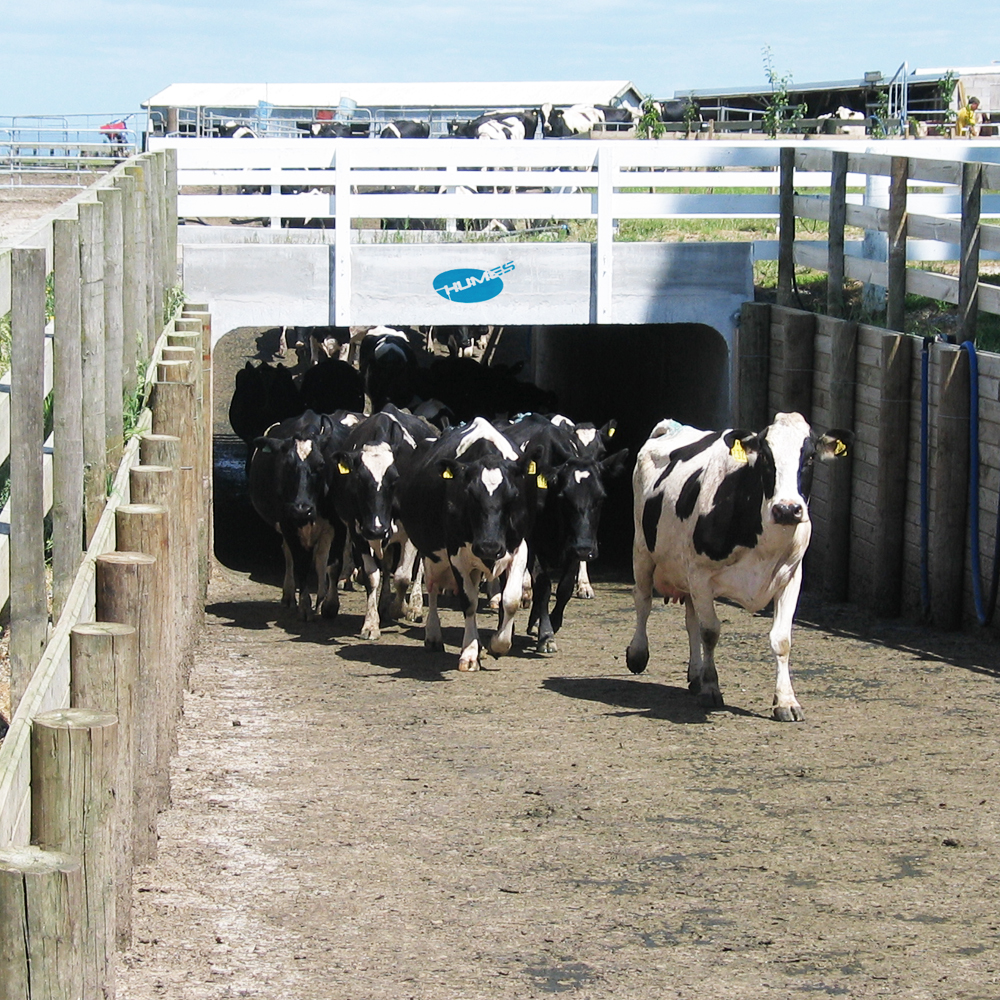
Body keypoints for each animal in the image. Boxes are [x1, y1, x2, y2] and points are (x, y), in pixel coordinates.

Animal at [249, 406, 356, 616]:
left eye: (321, 464)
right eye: (287, 464)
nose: (302, 508)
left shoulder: (337, 524)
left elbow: (332, 564)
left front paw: (329, 604)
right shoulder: (287, 523)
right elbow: (300, 563)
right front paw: (305, 604)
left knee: (321, 558)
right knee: (290, 555)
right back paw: (289, 596)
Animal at [322, 402, 440, 636]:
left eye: (395, 479)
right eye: (358, 479)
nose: (376, 530)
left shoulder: (408, 535)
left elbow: (403, 576)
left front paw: (400, 608)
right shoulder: (358, 531)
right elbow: (372, 576)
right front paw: (371, 623)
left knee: (418, 567)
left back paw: (414, 606)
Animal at [392, 418, 540, 668]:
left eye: (512, 497)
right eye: (470, 496)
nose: (489, 546)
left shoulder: (520, 548)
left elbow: (511, 599)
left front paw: (499, 644)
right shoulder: (456, 553)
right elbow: (468, 601)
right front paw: (470, 652)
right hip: (432, 554)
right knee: (432, 587)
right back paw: (433, 636)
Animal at [628, 410, 848, 724]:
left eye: (809, 458)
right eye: (766, 457)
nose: (787, 509)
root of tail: (672, 427)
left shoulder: (791, 577)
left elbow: (782, 640)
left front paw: (786, 701)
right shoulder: (701, 574)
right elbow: (710, 631)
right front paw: (711, 689)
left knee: (689, 619)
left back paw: (695, 674)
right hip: (643, 550)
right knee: (643, 600)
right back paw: (638, 653)